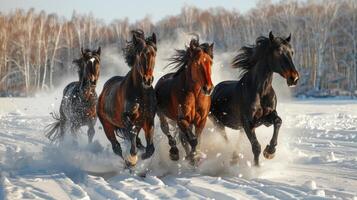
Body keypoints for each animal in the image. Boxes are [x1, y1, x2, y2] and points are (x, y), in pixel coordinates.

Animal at [97, 29, 157, 167]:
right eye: (140, 54)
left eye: (154, 54)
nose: (147, 80)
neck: (140, 94)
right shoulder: (126, 119)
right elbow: (132, 133)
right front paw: (133, 158)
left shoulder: (148, 119)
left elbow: (150, 148)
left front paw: (143, 154)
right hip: (107, 126)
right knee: (116, 147)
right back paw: (128, 163)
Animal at [154, 36, 213, 165]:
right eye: (197, 62)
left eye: (211, 62)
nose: (208, 88)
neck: (194, 95)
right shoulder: (182, 119)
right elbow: (192, 140)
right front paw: (193, 157)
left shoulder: (201, 120)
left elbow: (197, 139)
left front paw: (195, 156)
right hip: (162, 115)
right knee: (166, 130)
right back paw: (174, 152)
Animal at [209, 31, 298, 166]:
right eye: (278, 51)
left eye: (292, 52)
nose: (294, 78)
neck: (261, 91)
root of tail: (214, 90)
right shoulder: (248, 122)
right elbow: (256, 147)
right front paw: (257, 167)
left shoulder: (266, 118)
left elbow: (278, 121)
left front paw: (270, 152)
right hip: (218, 123)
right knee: (225, 140)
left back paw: (234, 158)